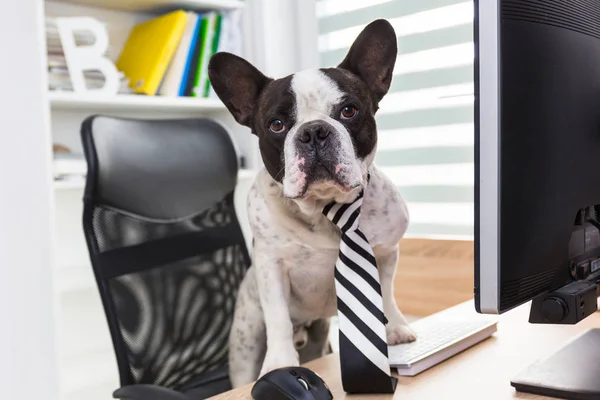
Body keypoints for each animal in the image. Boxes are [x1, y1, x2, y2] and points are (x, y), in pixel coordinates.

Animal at [209, 19, 414, 388]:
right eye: (276, 125)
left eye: (349, 111)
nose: (314, 131)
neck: (325, 209)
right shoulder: (271, 266)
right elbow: (277, 316)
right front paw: (279, 364)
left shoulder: (386, 252)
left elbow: (386, 292)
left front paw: (393, 326)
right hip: (247, 337)